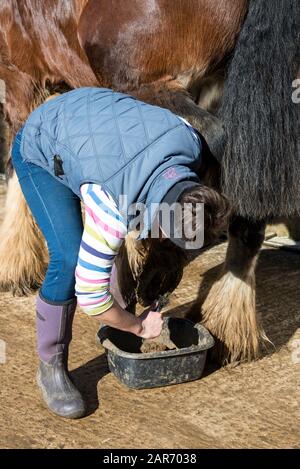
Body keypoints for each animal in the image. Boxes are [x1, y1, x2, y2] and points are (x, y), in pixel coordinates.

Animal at [0, 0, 298, 362]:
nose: (151, 290)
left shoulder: (18, 76)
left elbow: (16, 159)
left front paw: (14, 265)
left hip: (153, 85)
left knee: (219, 141)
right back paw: (225, 318)